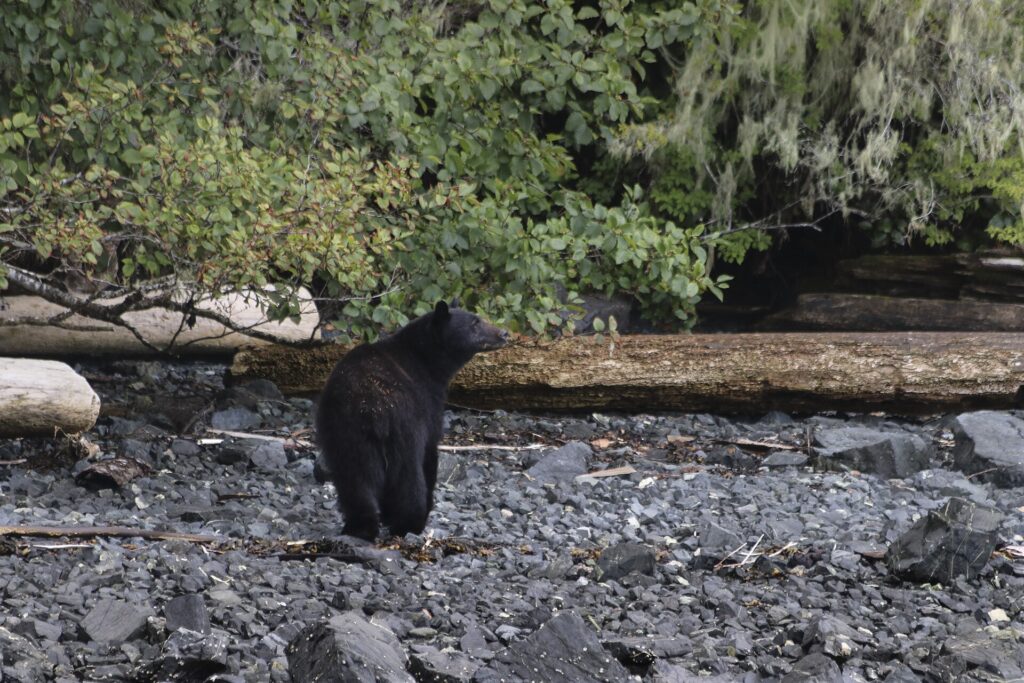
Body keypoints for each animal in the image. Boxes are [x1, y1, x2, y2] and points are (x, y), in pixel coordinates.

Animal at [315, 300, 509, 541]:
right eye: (475, 323)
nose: (503, 333)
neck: (426, 360)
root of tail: (371, 406)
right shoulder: (428, 401)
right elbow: (431, 449)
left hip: (345, 431)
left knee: (354, 477)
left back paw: (360, 527)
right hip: (403, 428)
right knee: (407, 476)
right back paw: (410, 524)